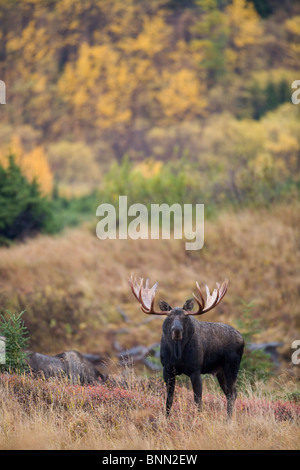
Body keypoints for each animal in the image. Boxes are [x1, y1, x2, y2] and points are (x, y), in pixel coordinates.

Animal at [129, 274, 244, 416]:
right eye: (169, 318)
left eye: (185, 318)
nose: (177, 331)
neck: (178, 354)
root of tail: (242, 338)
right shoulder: (167, 369)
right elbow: (169, 400)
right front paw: (167, 418)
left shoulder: (195, 370)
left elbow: (198, 401)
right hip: (220, 371)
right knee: (230, 393)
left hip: (231, 367)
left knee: (232, 394)